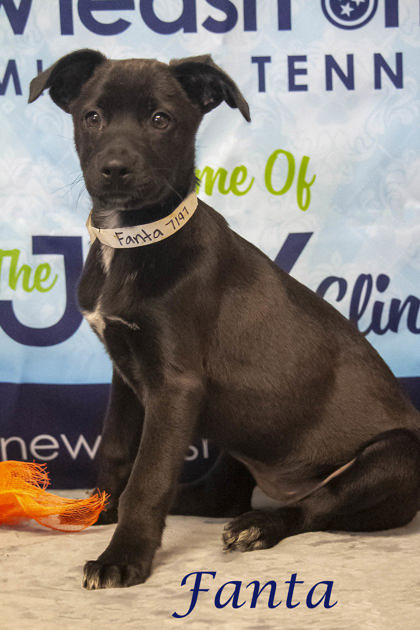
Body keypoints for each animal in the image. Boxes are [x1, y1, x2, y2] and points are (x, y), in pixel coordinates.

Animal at [28, 50, 420, 592]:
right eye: (92, 117)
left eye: (160, 119)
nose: (115, 170)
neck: (134, 242)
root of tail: (285, 483)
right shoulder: (126, 374)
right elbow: (116, 450)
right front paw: (99, 510)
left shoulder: (176, 386)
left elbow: (148, 478)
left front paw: (122, 557)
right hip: (241, 441)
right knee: (223, 496)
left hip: (395, 458)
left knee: (313, 507)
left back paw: (261, 525)